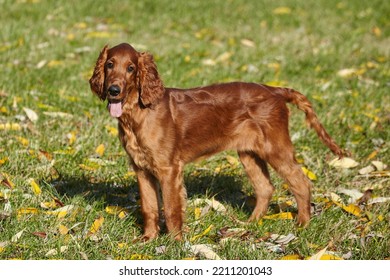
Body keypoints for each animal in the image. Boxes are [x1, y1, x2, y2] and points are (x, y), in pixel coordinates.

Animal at [89, 42, 344, 240]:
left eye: (131, 68)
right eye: (109, 64)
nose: (113, 90)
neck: (138, 113)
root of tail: (275, 91)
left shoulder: (169, 169)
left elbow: (171, 209)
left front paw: (174, 243)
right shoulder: (141, 169)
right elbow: (149, 208)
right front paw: (148, 239)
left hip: (276, 147)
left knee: (301, 182)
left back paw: (302, 224)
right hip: (249, 153)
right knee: (265, 188)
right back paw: (249, 225)